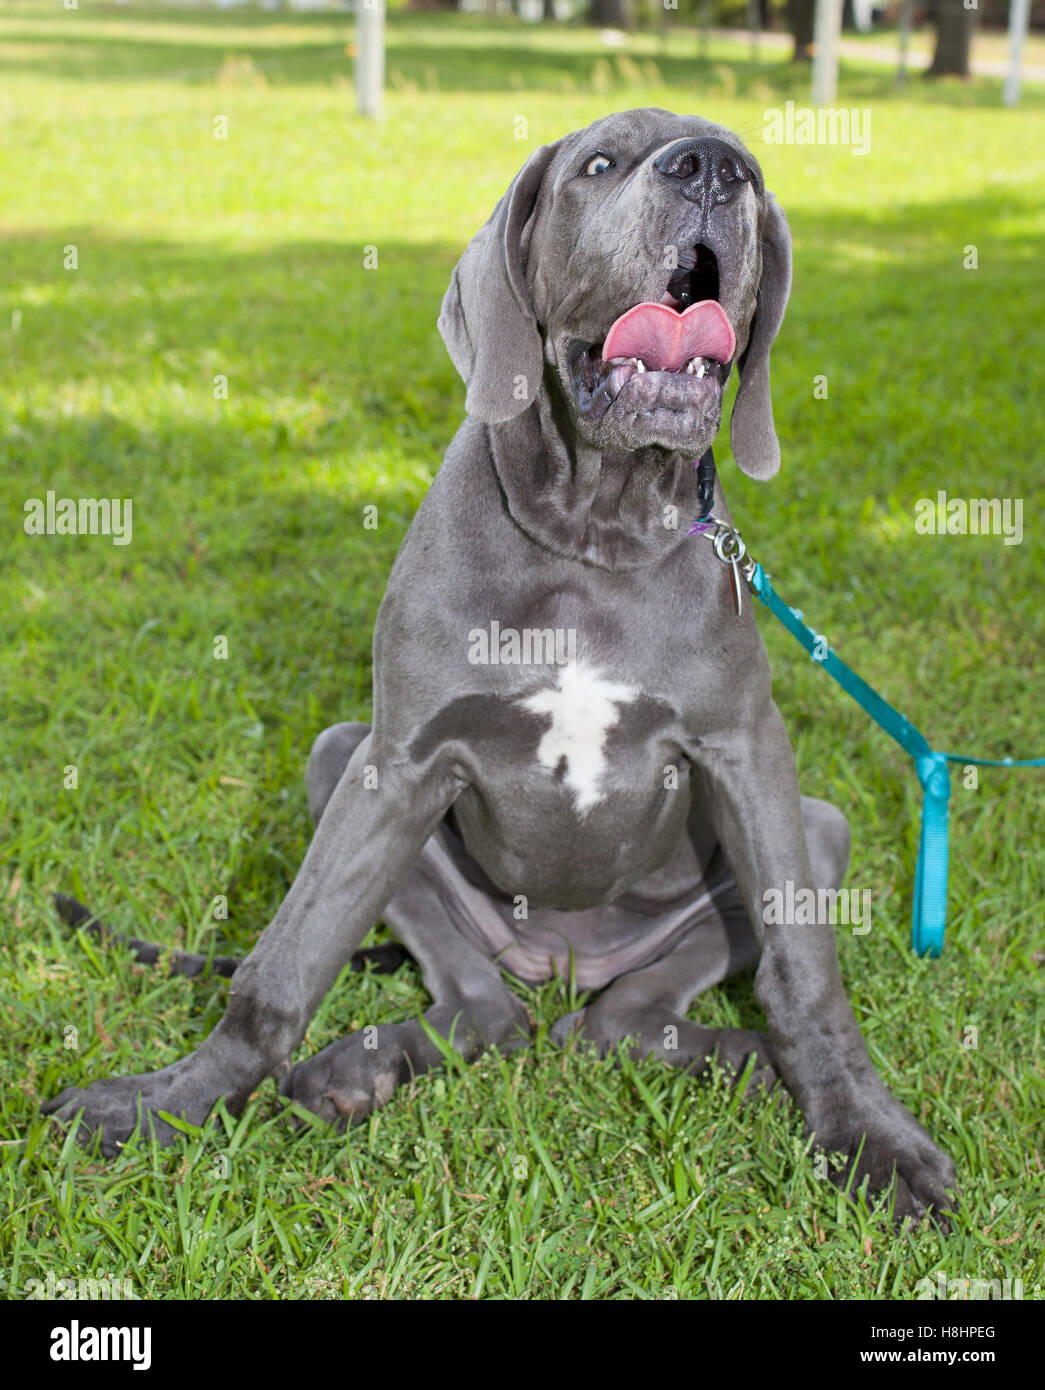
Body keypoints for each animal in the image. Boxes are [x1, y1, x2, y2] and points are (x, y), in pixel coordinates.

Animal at [46, 113, 956, 1234]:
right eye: (599, 164)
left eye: (747, 165)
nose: (711, 169)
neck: (589, 538)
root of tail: (559, 963)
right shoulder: (394, 762)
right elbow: (282, 966)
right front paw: (167, 1102)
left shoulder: (748, 759)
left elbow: (806, 978)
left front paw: (866, 1132)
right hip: (338, 762)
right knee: (487, 1010)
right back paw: (357, 1068)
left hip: (810, 829)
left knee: (619, 1021)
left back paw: (740, 1058)